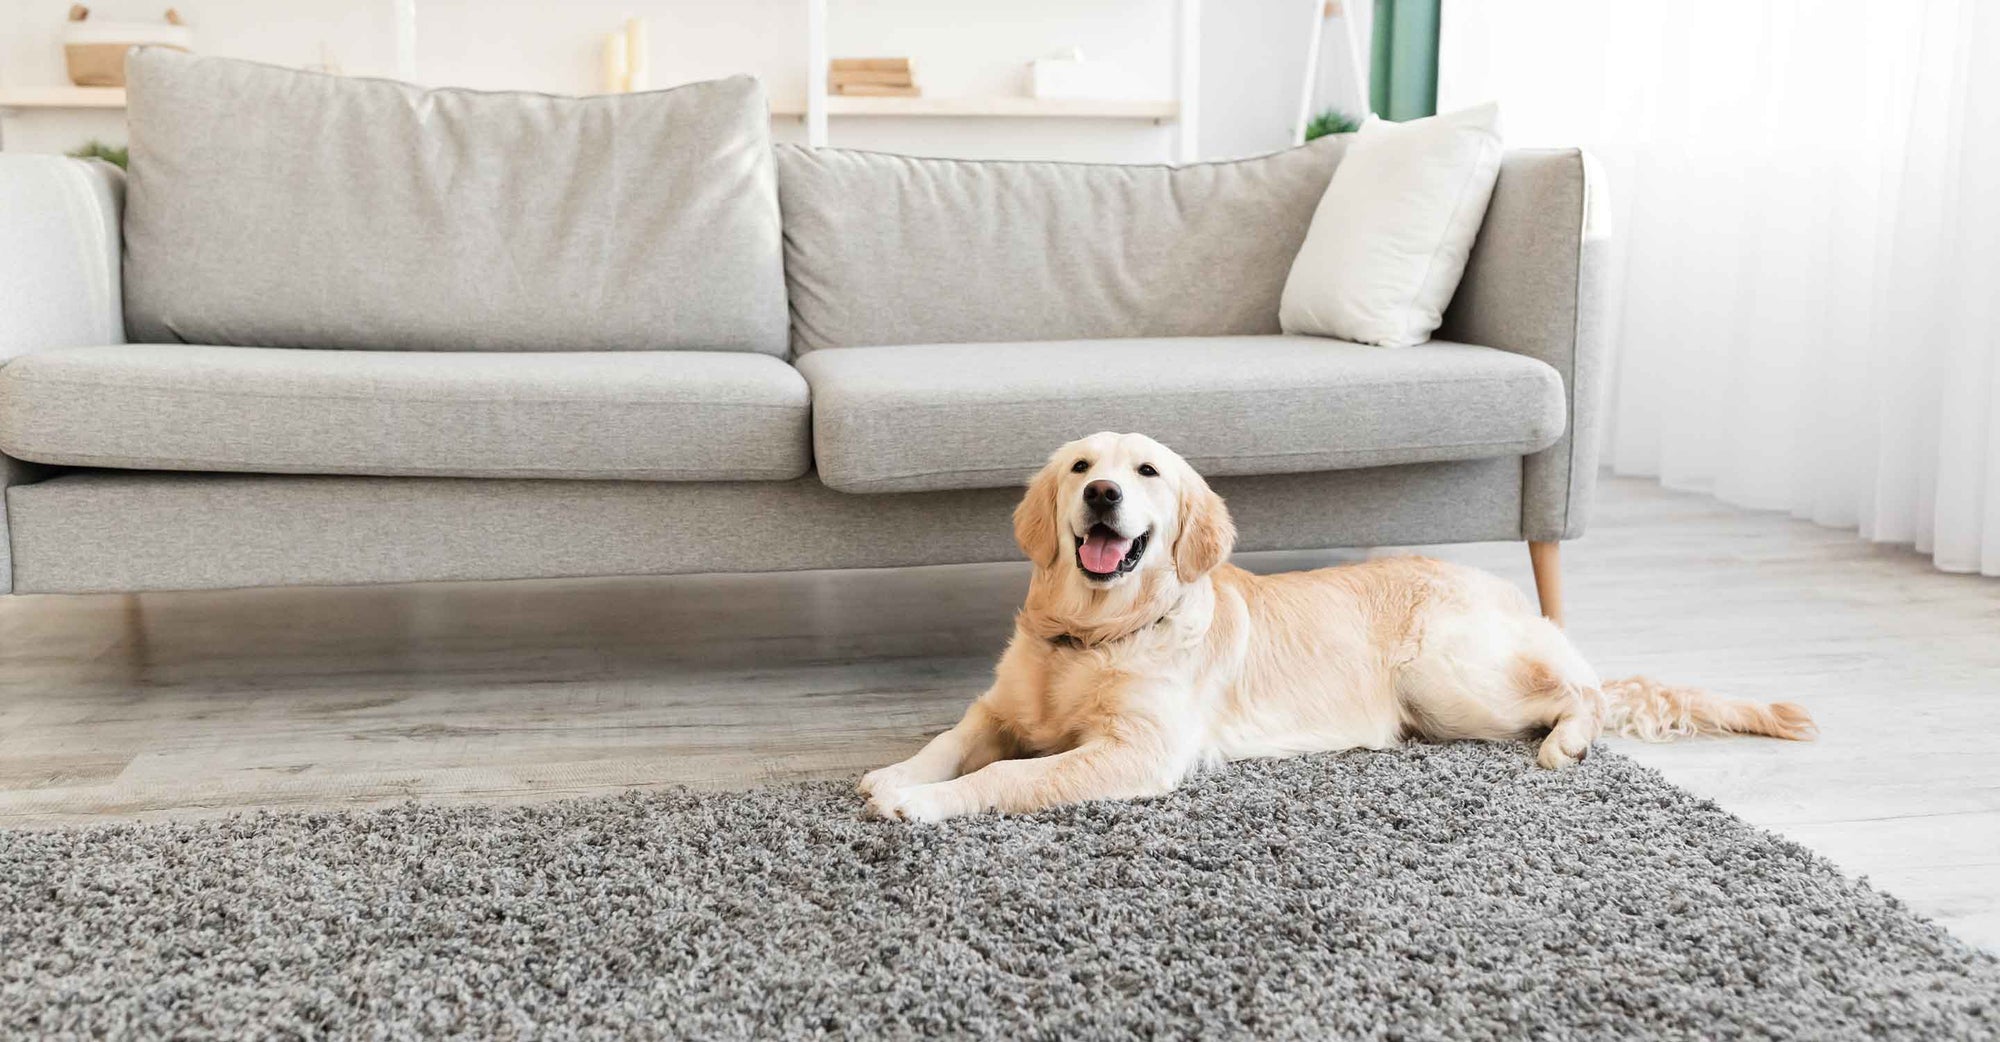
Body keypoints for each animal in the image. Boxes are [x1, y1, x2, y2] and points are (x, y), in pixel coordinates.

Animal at [856, 430, 1816, 820]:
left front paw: (921, 802)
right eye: (1081, 466)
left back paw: (1565, 742)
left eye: (1148, 473)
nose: (1102, 495)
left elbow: (1008, 777)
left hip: (1446, 676)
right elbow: (952, 738)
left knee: (1585, 693)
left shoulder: (1137, 753)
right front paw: (895, 773)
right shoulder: (999, 709)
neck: (1092, 634)